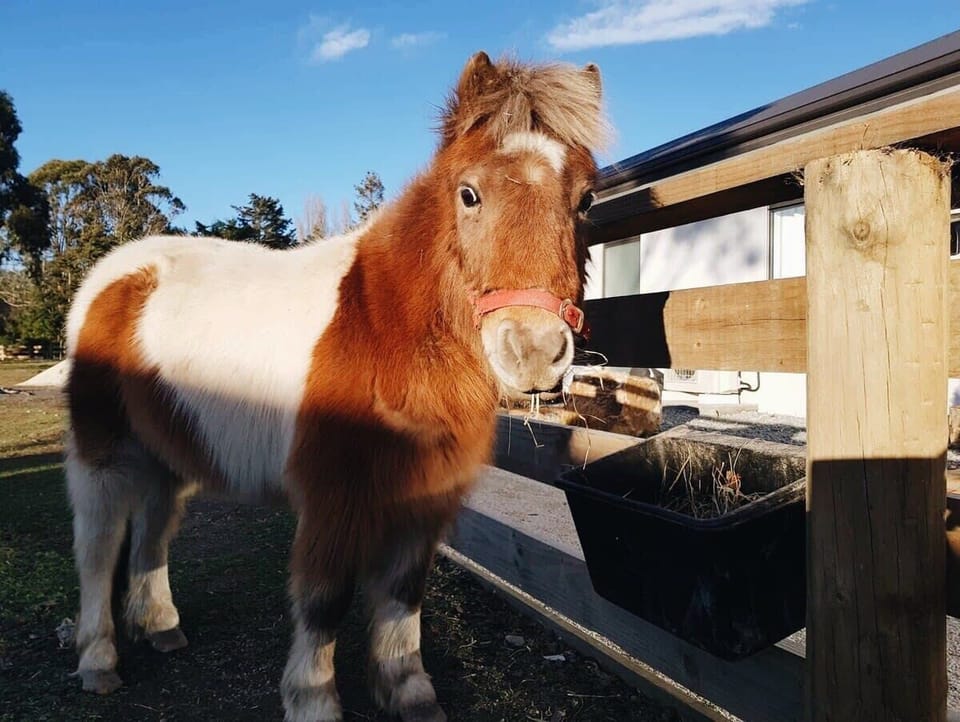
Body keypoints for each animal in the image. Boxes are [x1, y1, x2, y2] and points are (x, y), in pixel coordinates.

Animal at [64, 51, 607, 722]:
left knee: (153, 528)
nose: (532, 351)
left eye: (586, 201)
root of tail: (111, 276)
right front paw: (313, 698)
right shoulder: (332, 496)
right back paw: (99, 660)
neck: (381, 328)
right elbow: (325, 599)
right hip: (103, 450)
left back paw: (160, 626)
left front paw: (408, 690)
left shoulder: (422, 497)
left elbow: (402, 594)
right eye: (469, 194)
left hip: (168, 447)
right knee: (98, 542)